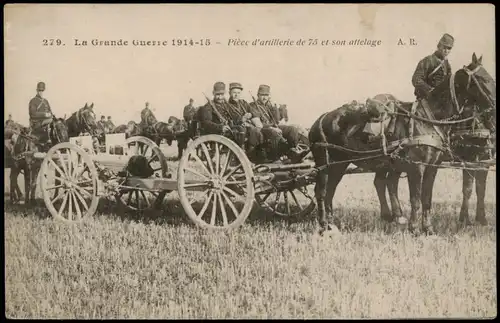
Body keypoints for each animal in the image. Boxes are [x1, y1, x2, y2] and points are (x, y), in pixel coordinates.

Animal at [308, 52, 496, 235]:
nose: (494, 106)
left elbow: (427, 199)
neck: (428, 119)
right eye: (483, 79)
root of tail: (320, 120)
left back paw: (332, 224)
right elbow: (416, 199)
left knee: (333, 191)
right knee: (322, 191)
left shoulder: (433, 167)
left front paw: (428, 228)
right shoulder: (417, 167)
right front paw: (414, 228)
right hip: (326, 165)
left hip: (340, 165)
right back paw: (324, 225)